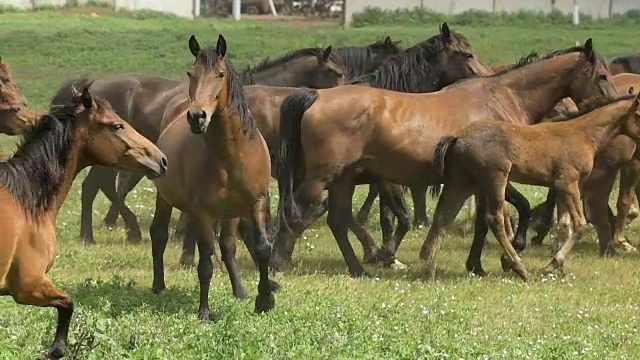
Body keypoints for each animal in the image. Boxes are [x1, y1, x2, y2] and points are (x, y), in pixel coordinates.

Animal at [0, 88, 168, 360]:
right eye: (117, 125)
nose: (161, 160)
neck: (26, 200)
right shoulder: (28, 286)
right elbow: (68, 304)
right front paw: (56, 350)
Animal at [49, 42, 348, 245]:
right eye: (334, 71)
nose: (348, 88)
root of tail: (91, 85)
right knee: (97, 188)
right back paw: (111, 232)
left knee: (97, 187)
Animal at [152, 35, 278, 320]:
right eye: (191, 73)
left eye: (220, 74)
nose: (197, 117)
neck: (232, 155)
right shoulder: (203, 212)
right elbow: (206, 262)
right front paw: (204, 312)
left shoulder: (257, 201)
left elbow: (262, 248)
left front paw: (264, 299)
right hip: (165, 198)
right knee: (158, 233)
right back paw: (158, 285)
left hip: (230, 213)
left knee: (228, 245)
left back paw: (240, 290)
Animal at [274, 39, 616, 278]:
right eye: (601, 76)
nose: (615, 101)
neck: (501, 97)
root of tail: (317, 96)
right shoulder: (493, 177)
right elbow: (510, 211)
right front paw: (510, 254)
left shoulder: (478, 182)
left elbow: (484, 221)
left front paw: (478, 264)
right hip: (321, 178)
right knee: (296, 213)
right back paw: (280, 262)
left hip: (343, 179)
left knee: (337, 219)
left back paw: (359, 268)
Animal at [432, 93, 640, 278]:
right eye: (638, 114)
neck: (583, 135)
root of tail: (458, 137)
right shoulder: (567, 183)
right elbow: (579, 225)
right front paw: (551, 265)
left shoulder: (564, 187)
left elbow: (564, 226)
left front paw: (559, 269)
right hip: (495, 179)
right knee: (494, 218)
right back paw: (518, 267)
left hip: (469, 182)